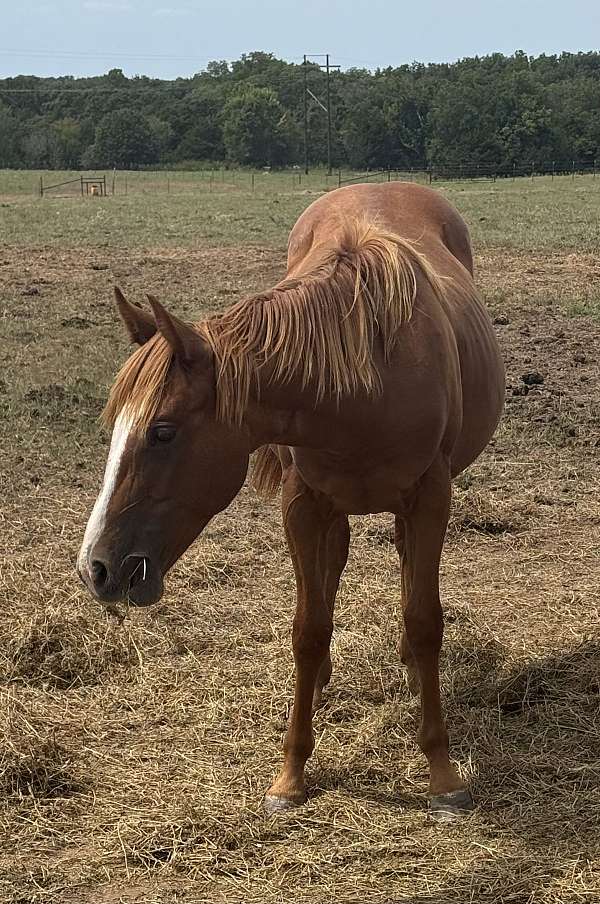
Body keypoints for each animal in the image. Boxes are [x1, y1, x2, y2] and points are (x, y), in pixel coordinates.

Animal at [78, 182, 504, 818]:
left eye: (163, 432)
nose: (96, 569)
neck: (365, 381)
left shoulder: (432, 497)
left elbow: (425, 620)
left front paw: (442, 773)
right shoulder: (303, 505)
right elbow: (308, 628)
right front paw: (291, 775)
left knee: (403, 567)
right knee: (334, 572)